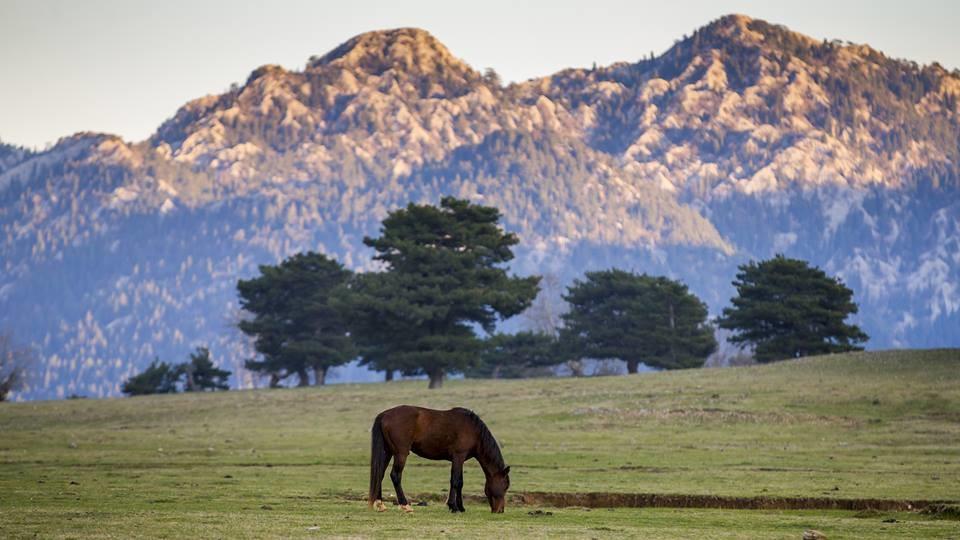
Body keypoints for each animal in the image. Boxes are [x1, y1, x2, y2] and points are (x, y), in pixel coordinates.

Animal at [372, 404, 512, 516]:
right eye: (505, 486)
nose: (500, 510)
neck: (474, 430)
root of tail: (385, 415)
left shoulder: (460, 460)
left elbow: (460, 482)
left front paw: (460, 507)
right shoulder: (458, 457)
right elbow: (455, 481)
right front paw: (453, 507)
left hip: (388, 452)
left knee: (380, 474)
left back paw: (380, 504)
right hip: (400, 454)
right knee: (395, 475)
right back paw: (405, 506)